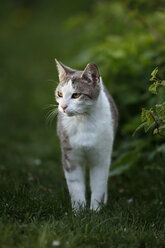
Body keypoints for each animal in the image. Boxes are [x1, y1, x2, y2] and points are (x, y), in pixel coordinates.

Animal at [54, 58, 118, 211]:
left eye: (76, 95)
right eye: (60, 94)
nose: (63, 106)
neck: (83, 120)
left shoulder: (102, 156)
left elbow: (99, 183)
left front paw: (95, 210)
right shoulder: (70, 155)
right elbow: (75, 185)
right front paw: (79, 211)